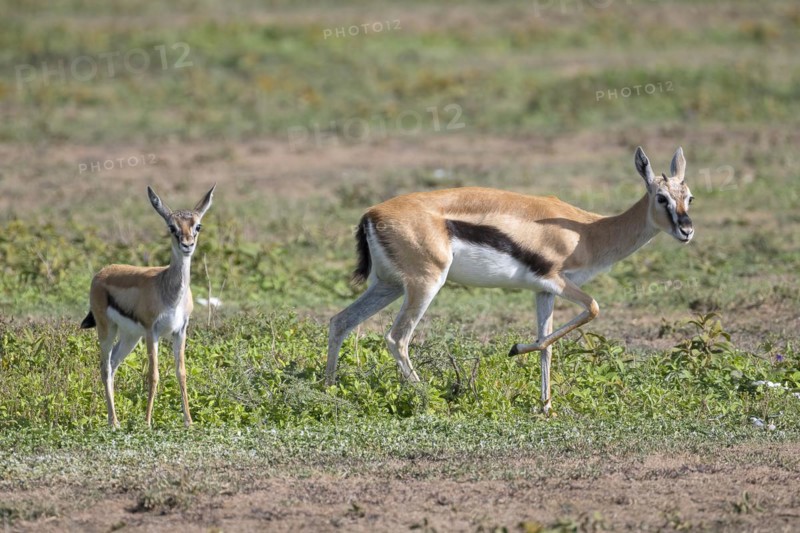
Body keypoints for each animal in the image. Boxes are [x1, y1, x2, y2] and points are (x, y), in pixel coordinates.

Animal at [80, 185, 216, 427]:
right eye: (172, 227)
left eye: (197, 226)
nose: (187, 245)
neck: (169, 291)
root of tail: (102, 272)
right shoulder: (152, 333)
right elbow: (153, 375)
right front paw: (147, 421)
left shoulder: (180, 331)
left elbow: (181, 372)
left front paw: (189, 421)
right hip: (107, 330)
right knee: (105, 367)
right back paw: (114, 422)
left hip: (130, 336)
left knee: (113, 363)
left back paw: (114, 419)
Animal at [327, 147, 693, 413]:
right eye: (661, 197)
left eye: (688, 197)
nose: (687, 230)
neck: (588, 232)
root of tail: (371, 214)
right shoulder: (558, 282)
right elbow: (592, 308)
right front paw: (515, 350)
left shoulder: (544, 291)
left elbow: (547, 344)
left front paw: (546, 407)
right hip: (424, 285)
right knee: (397, 338)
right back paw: (430, 399)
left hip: (388, 285)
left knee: (340, 321)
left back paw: (328, 391)